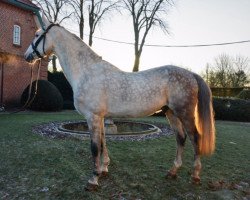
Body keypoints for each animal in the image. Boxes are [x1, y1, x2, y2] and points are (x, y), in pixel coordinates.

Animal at [24, 17, 215, 191]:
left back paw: (195, 175)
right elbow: (103, 143)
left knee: (195, 138)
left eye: (37, 35)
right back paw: (172, 172)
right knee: (181, 138)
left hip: (185, 113)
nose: (26, 56)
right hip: (171, 113)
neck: (87, 72)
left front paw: (93, 179)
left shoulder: (92, 117)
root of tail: (191, 74)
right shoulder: (100, 118)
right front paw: (103, 169)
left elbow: (95, 147)